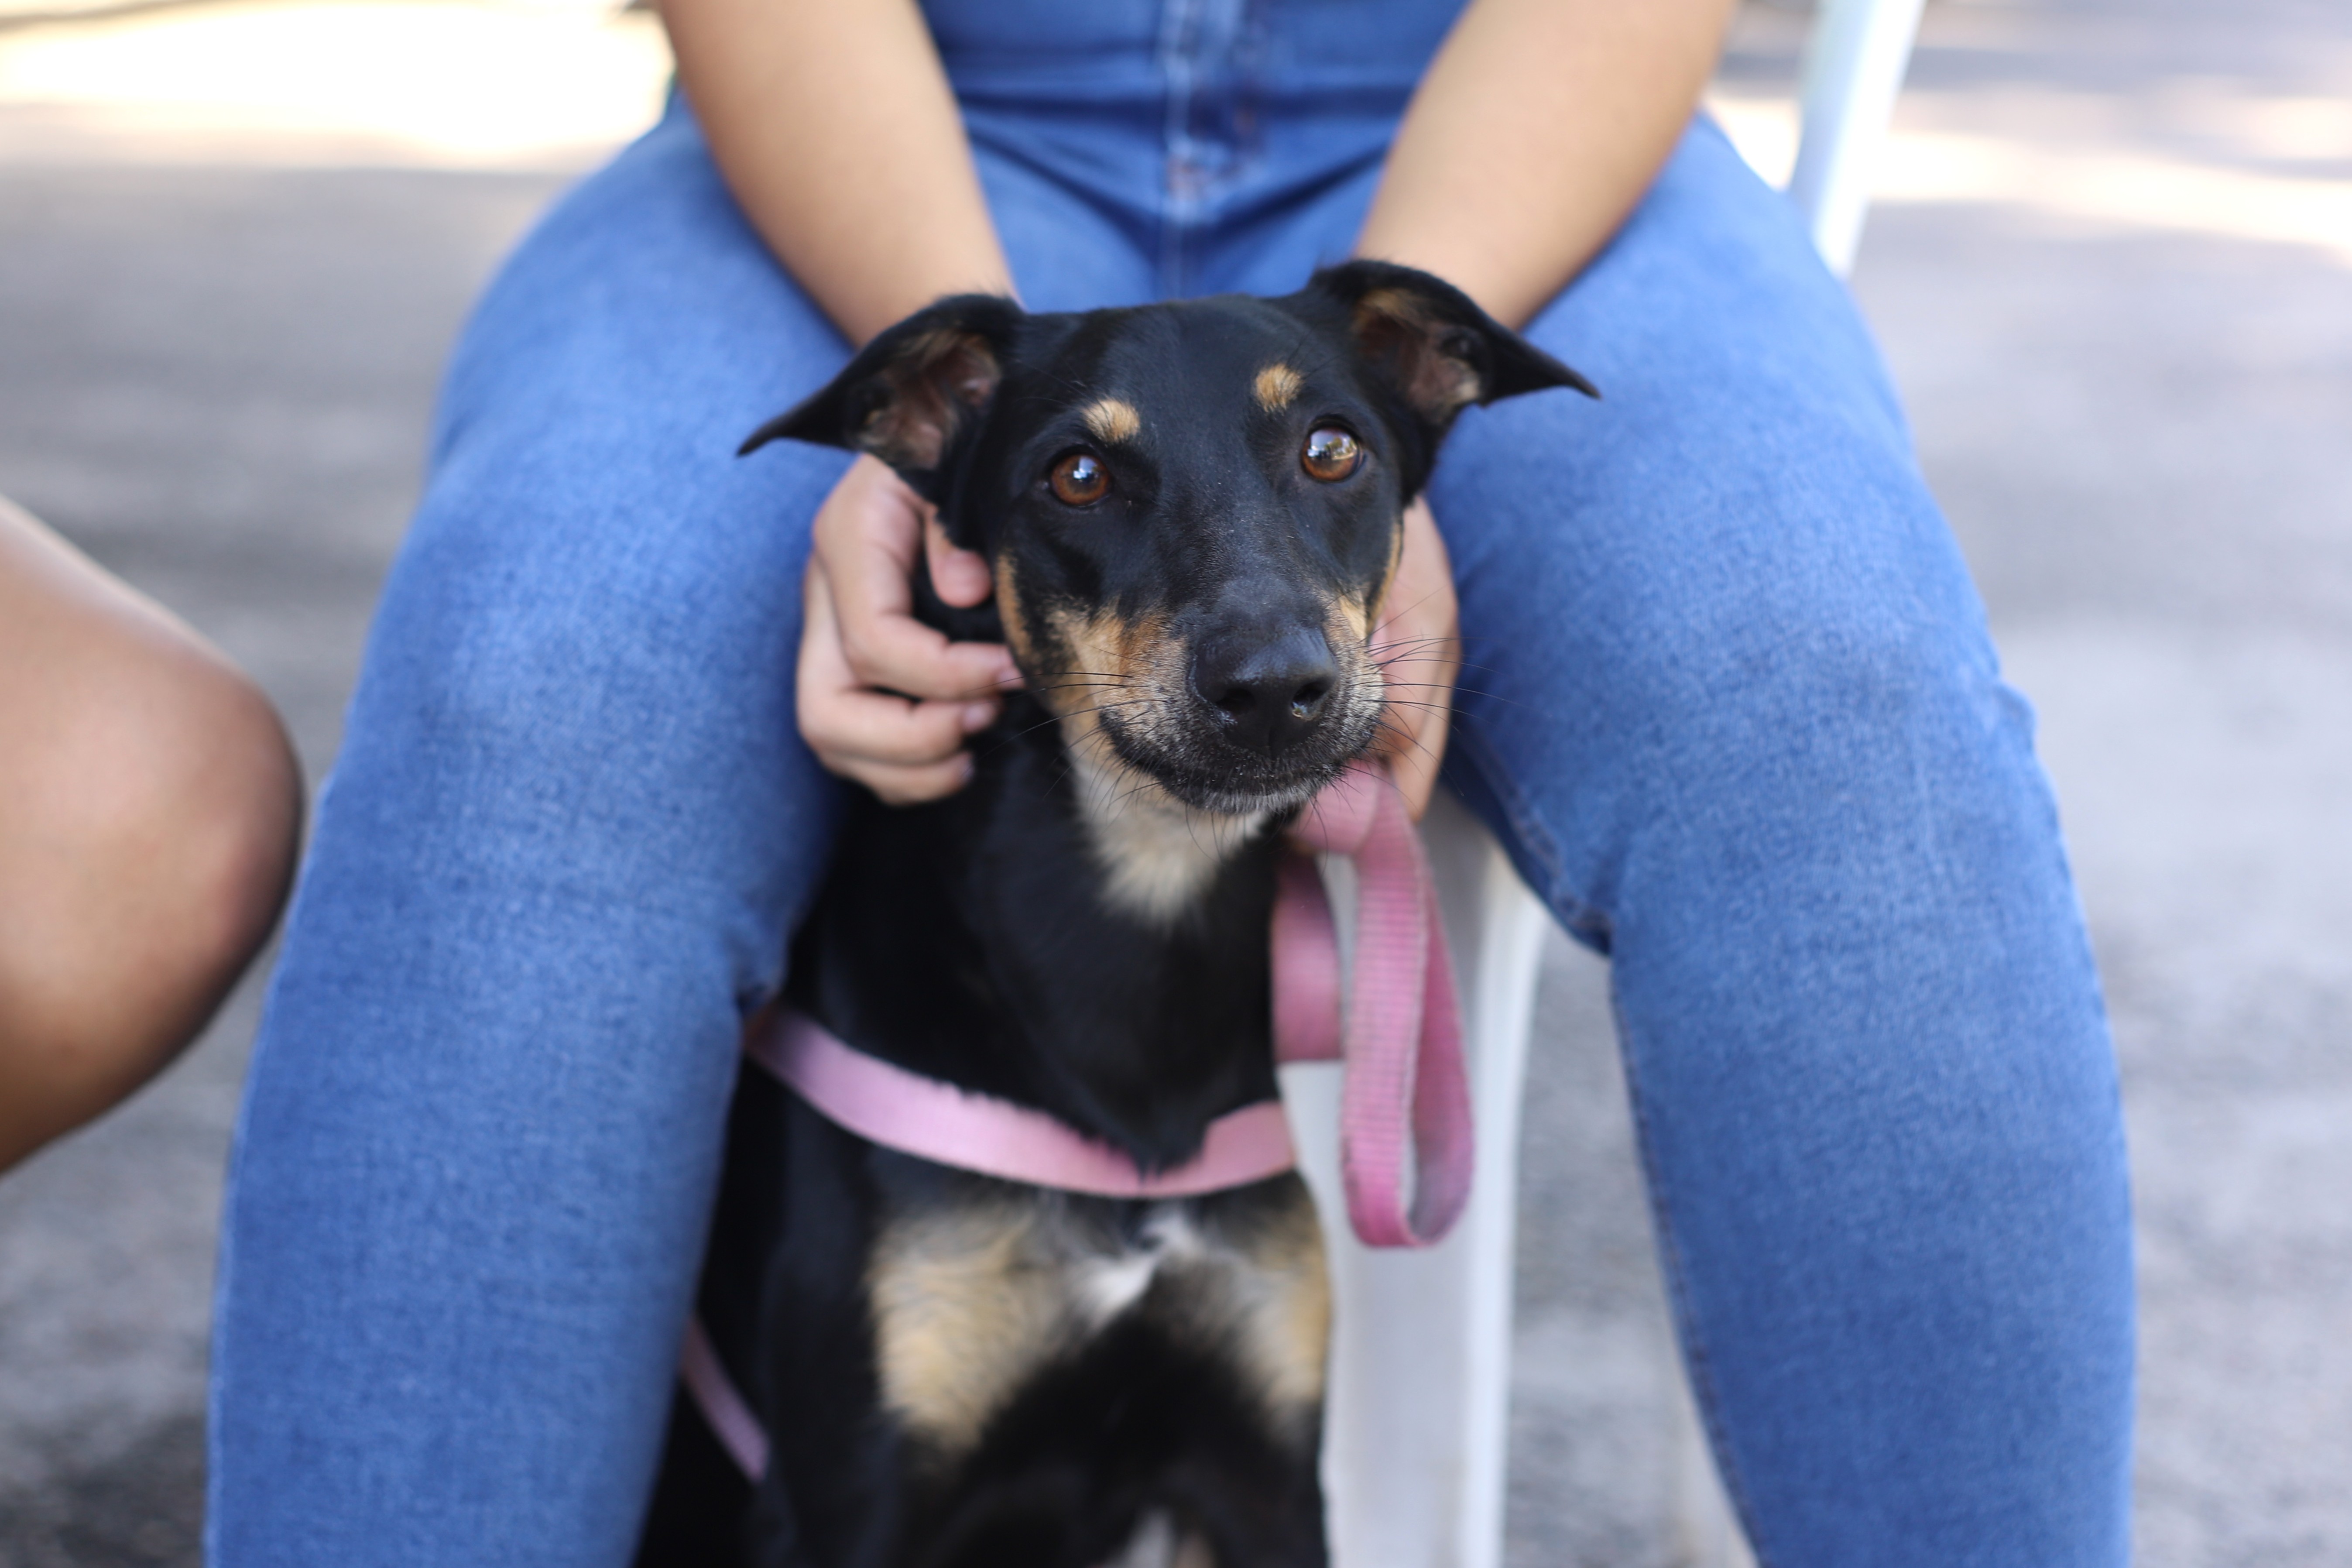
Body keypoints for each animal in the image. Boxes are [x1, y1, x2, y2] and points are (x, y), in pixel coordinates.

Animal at [633, 261, 1592, 1568]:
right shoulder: (850, 1493)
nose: (1274, 688)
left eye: (1331, 448)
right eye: (1076, 476)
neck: (1141, 907)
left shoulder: (1263, 1471)